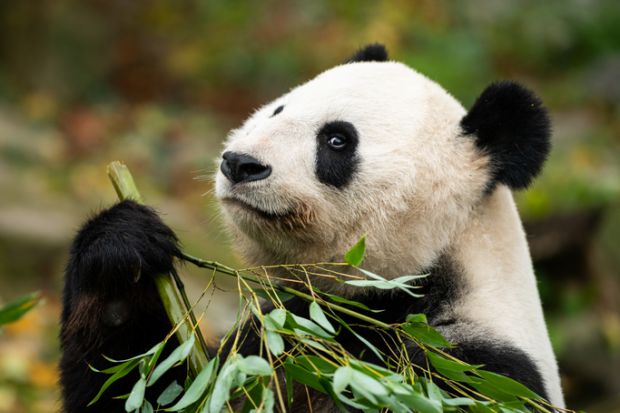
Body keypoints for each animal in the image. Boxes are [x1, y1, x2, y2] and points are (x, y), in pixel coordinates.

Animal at [60, 43, 564, 410]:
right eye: (278, 110)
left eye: (337, 140)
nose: (240, 164)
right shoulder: (269, 335)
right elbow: (135, 386)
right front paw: (123, 248)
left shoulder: (470, 370)